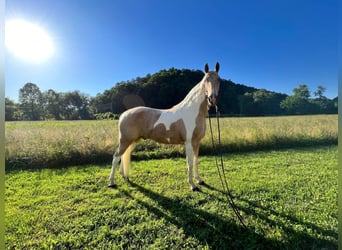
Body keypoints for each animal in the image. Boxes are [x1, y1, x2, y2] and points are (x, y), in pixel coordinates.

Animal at [109, 61, 222, 190]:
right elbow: (189, 163)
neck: (193, 111)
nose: (212, 99)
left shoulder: (197, 142)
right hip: (125, 140)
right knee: (116, 157)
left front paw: (199, 180)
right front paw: (192, 185)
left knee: (123, 156)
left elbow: (195, 160)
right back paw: (111, 182)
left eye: (219, 80)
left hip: (132, 141)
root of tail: (124, 114)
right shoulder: (188, 143)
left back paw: (124, 176)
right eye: (206, 80)